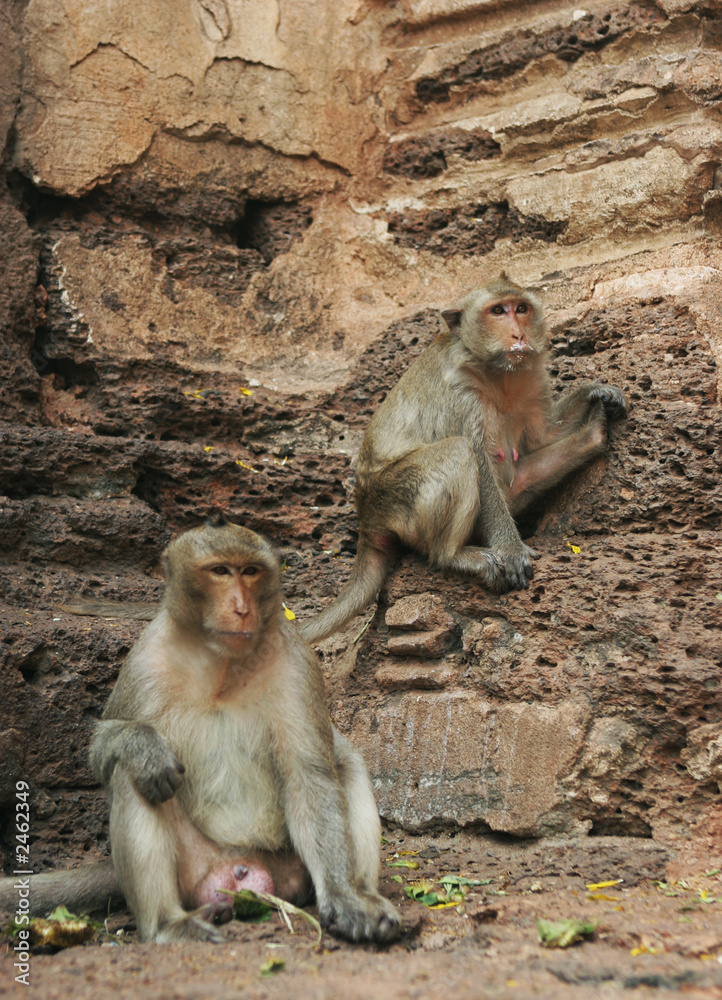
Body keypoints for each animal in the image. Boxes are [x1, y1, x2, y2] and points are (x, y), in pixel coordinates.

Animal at [0, 515, 400, 945]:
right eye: (221, 571)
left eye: (251, 571)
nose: (241, 608)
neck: (219, 664)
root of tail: (240, 866)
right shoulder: (143, 661)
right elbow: (103, 752)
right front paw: (143, 745)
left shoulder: (297, 662)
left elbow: (308, 775)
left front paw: (344, 897)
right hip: (193, 869)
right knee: (132, 775)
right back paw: (168, 924)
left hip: (290, 866)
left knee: (345, 760)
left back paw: (363, 891)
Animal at [300, 274, 626, 644]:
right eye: (497, 311)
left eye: (521, 308)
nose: (519, 335)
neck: (500, 375)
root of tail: (366, 523)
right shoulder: (459, 392)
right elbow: (479, 461)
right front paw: (511, 550)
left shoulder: (532, 377)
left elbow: (543, 435)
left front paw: (594, 392)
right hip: (393, 500)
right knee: (456, 452)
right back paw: (456, 556)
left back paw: (593, 434)